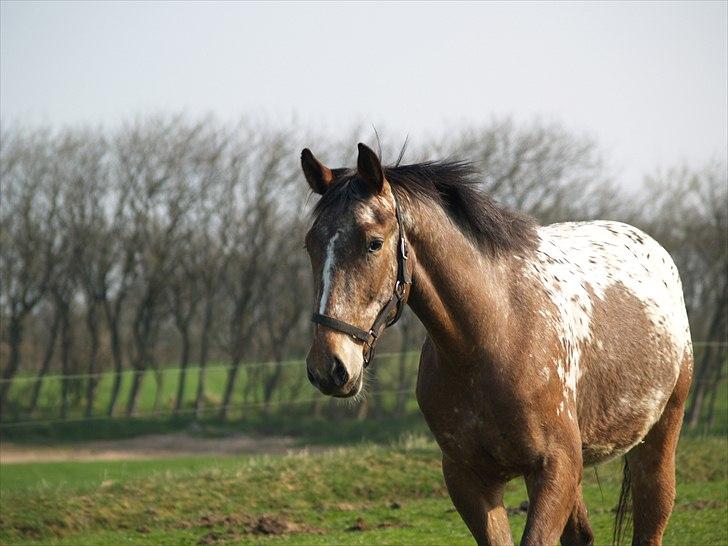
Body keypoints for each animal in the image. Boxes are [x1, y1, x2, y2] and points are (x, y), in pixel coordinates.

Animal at [300, 142, 692, 540]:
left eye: (373, 243)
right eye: (310, 244)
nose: (328, 367)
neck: (494, 337)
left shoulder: (554, 470)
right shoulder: (471, 480)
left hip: (658, 439)